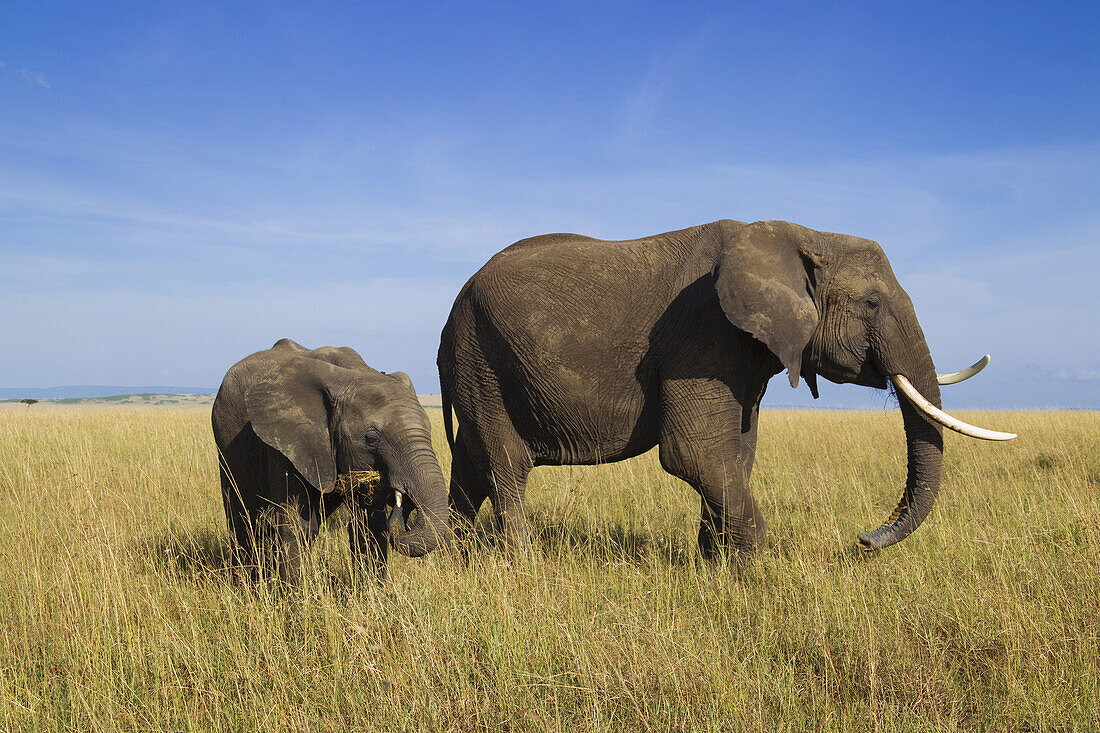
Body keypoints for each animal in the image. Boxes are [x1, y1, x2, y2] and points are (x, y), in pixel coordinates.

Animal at [212, 336, 448, 581]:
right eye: (371, 438)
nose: (403, 502)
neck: (353, 374)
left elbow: (369, 523)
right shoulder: (284, 442)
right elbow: (297, 523)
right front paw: (296, 592)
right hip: (225, 436)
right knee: (244, 519)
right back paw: (245, 581)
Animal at [435, 216, 1012, 554]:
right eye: (871, 303)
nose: (864, 539)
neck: (800, 235)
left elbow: (737, 450)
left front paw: (716, 566)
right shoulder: (703, 334)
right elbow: (694, 453)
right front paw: (759, 573)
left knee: (472, 462)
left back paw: (448, 554)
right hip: (482, 355)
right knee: (506, 463)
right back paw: (520, 563)